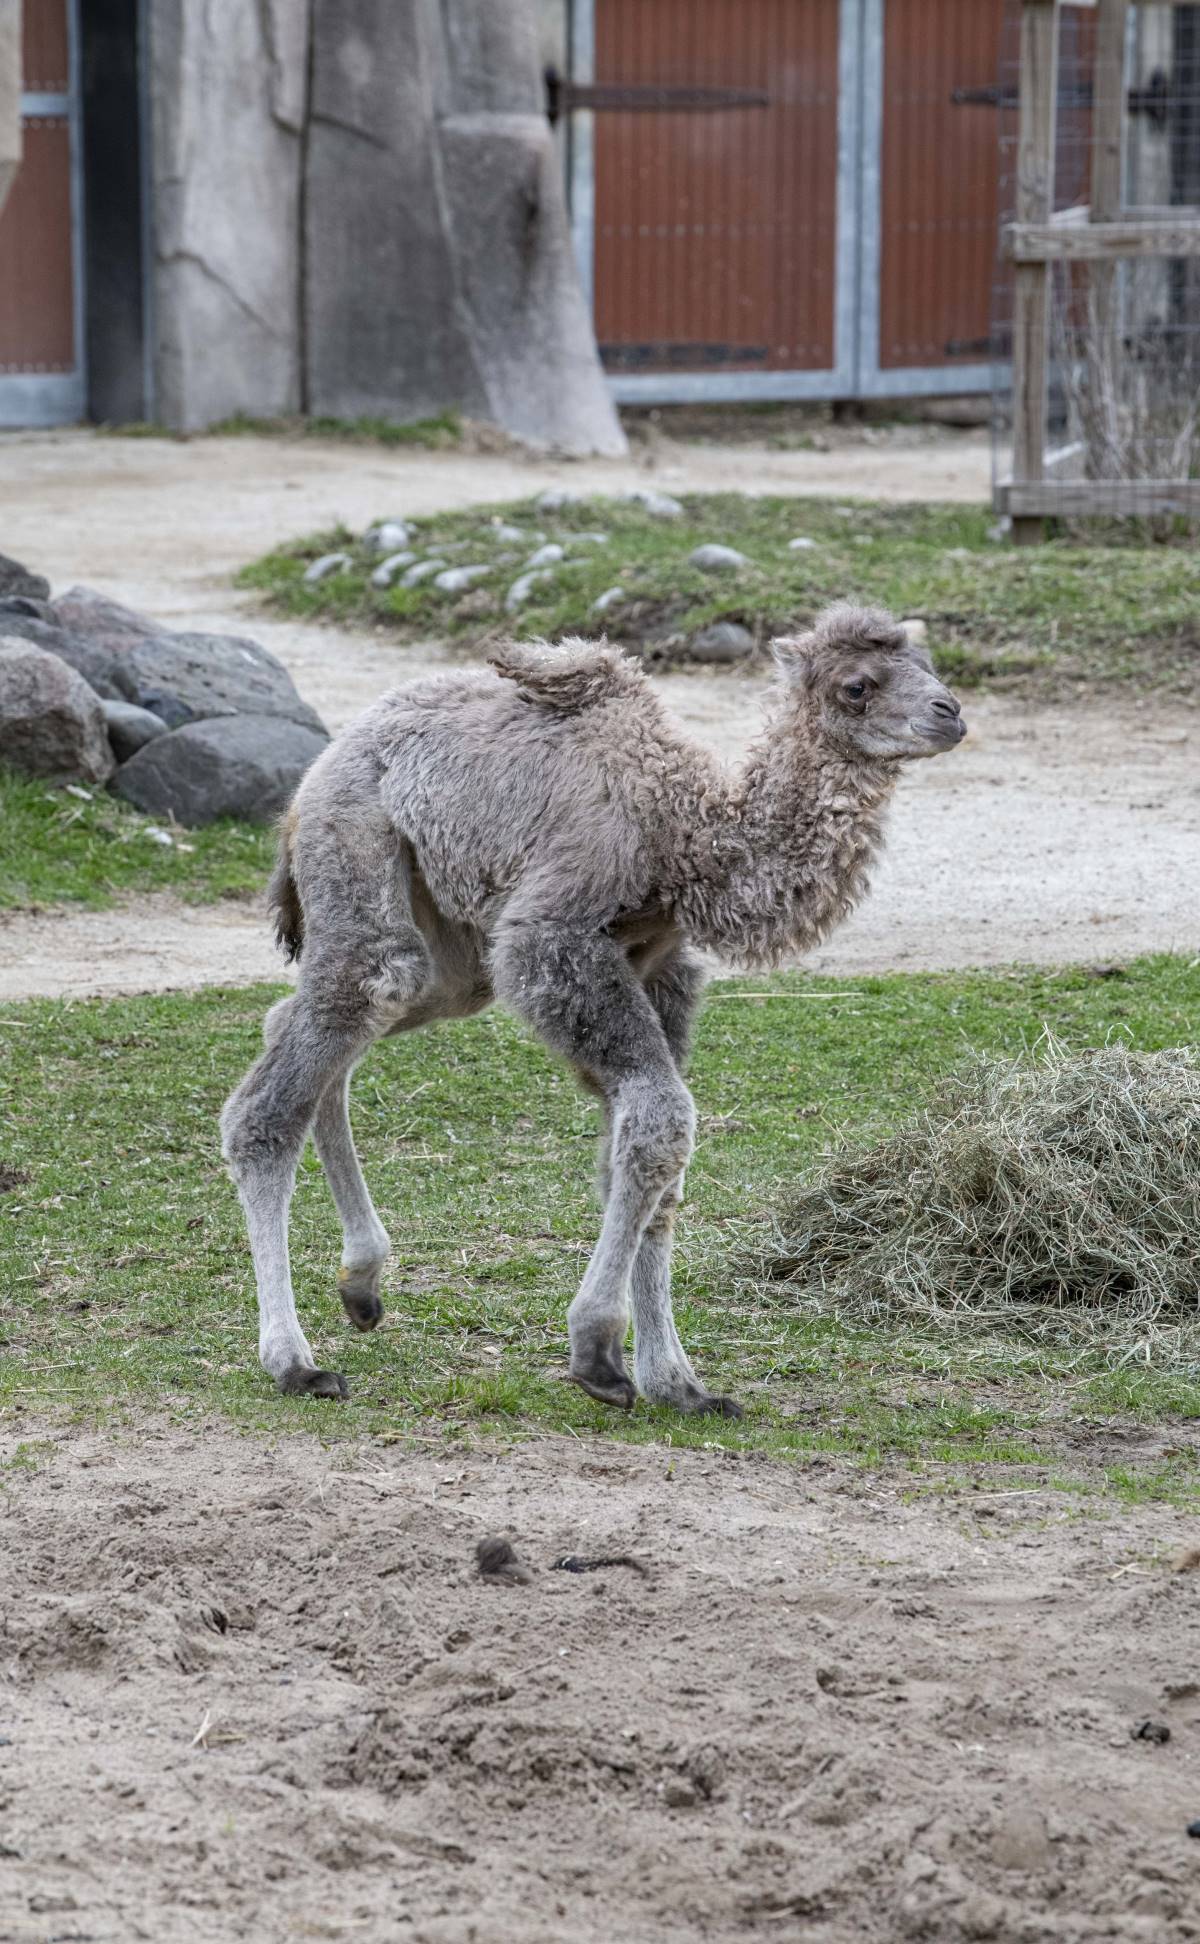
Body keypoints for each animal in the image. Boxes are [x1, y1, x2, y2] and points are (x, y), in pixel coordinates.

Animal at [221, 602, 965, 1416]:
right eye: (858, 686)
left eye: (928, 665)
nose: (950, 713)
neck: (687, 835)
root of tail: (304, 792)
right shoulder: (551, 939)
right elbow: (664, 1124)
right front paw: (600, 1355)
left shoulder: (660, 970)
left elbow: (643, 1160)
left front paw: (681, 1384)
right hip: (363, 857)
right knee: (287, 1080)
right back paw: (295, 1362)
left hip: (452, 959)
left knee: (307, 1021)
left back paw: (362, 1285)